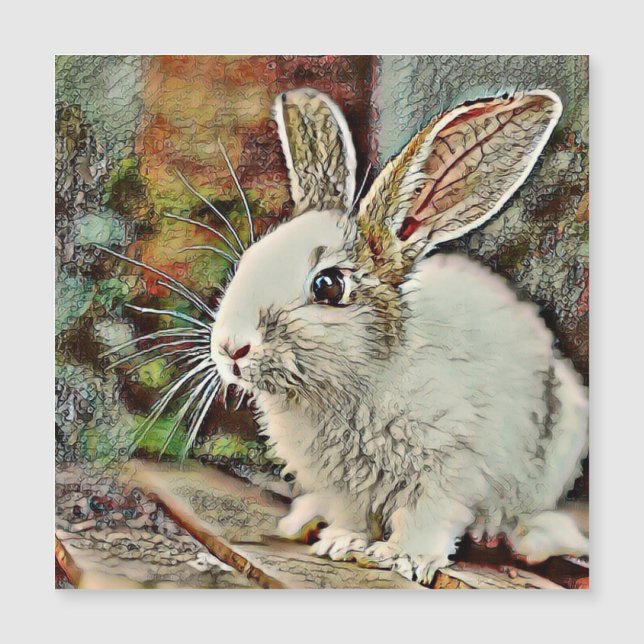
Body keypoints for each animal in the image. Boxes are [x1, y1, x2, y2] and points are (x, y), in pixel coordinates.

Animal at [209, 87, 589, 585]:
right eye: (249, 260)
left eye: (328, 286)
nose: (230, 348)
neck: (352, 382)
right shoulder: (342, 485)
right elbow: (353, 516)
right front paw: (342, 543)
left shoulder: (447, 470)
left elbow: (427, 518)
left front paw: (405, 559)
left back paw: (503, 534)